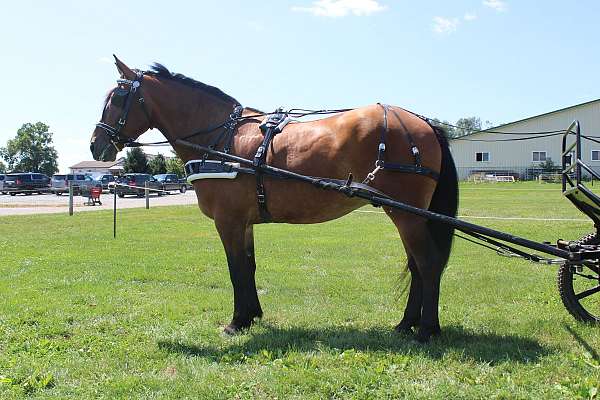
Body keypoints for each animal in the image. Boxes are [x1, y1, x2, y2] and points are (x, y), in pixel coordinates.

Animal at [90, 56, 460, 342]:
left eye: (117, 98)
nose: (96, 145)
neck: (222, 139)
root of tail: (422, 122)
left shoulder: (228, 221)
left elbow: (236, 268)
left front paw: (236, 322)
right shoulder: (244, 222)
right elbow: (249, 266)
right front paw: (252, 315)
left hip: (407, 215)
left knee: (427, 263)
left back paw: (426, 330)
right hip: (409, 215)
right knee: (417, 265)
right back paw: (406, 324)